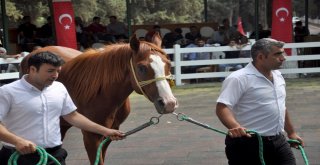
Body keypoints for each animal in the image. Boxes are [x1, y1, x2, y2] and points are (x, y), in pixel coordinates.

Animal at [20, 34, 179, 164]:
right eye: (142, 68)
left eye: (168, 64)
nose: (168, 103)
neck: (104, 93)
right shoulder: (91, 136)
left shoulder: (109, 134)